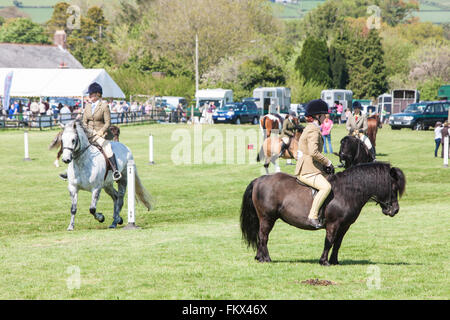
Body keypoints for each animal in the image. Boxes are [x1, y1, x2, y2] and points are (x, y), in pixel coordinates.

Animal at [241, 162, 406, 264]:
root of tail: (259, 179)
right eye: (393, 187)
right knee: (263, 236)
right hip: (267, 218)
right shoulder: (333, 224)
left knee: (260, 236)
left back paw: (259, 257)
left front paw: (334, 261)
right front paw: (324, 261)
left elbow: (338, 243)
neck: (347, 191)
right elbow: (329, 240)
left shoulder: (344, 226)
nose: (395, 210)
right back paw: (266, 258)